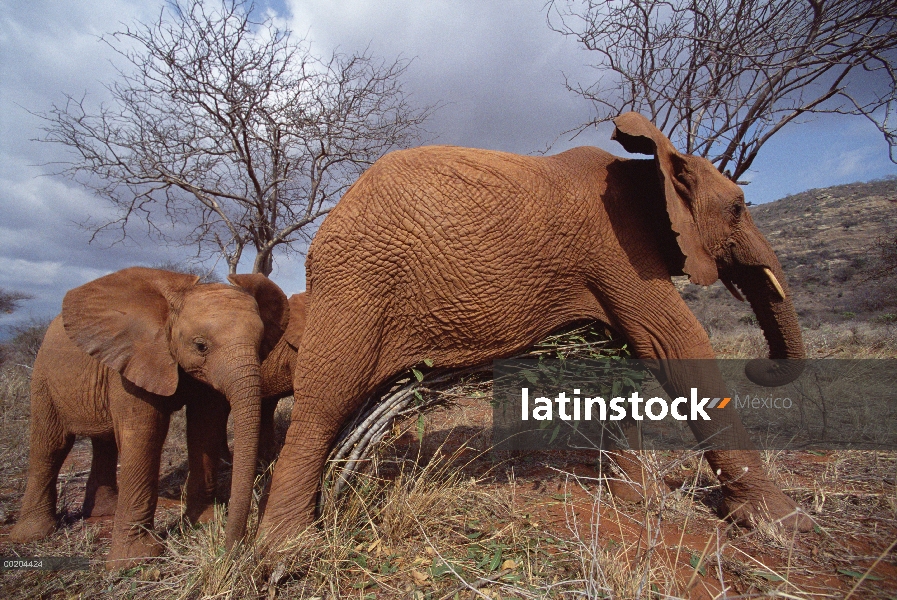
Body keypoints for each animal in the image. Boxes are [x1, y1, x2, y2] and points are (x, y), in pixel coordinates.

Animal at [11, 268, 290, 568]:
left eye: (261, 344)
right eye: (200, 346)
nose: (231, 551)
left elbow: (204, 427)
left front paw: (204, 522)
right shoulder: (134, 362)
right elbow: (145, 434)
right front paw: (135, 559)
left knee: (104, 442)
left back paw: (104, 511)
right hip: (43, 375)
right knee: (51, 445)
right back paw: (32, 535)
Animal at [260, 111, 812, 540]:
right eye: (737, 209)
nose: (762, 366)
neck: (648, 169)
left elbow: (624, 359)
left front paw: (635, 498)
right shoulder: (619, 251)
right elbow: (676, 345)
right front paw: (783, 524)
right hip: (357, 284)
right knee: (324, 402)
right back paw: (286, 555)